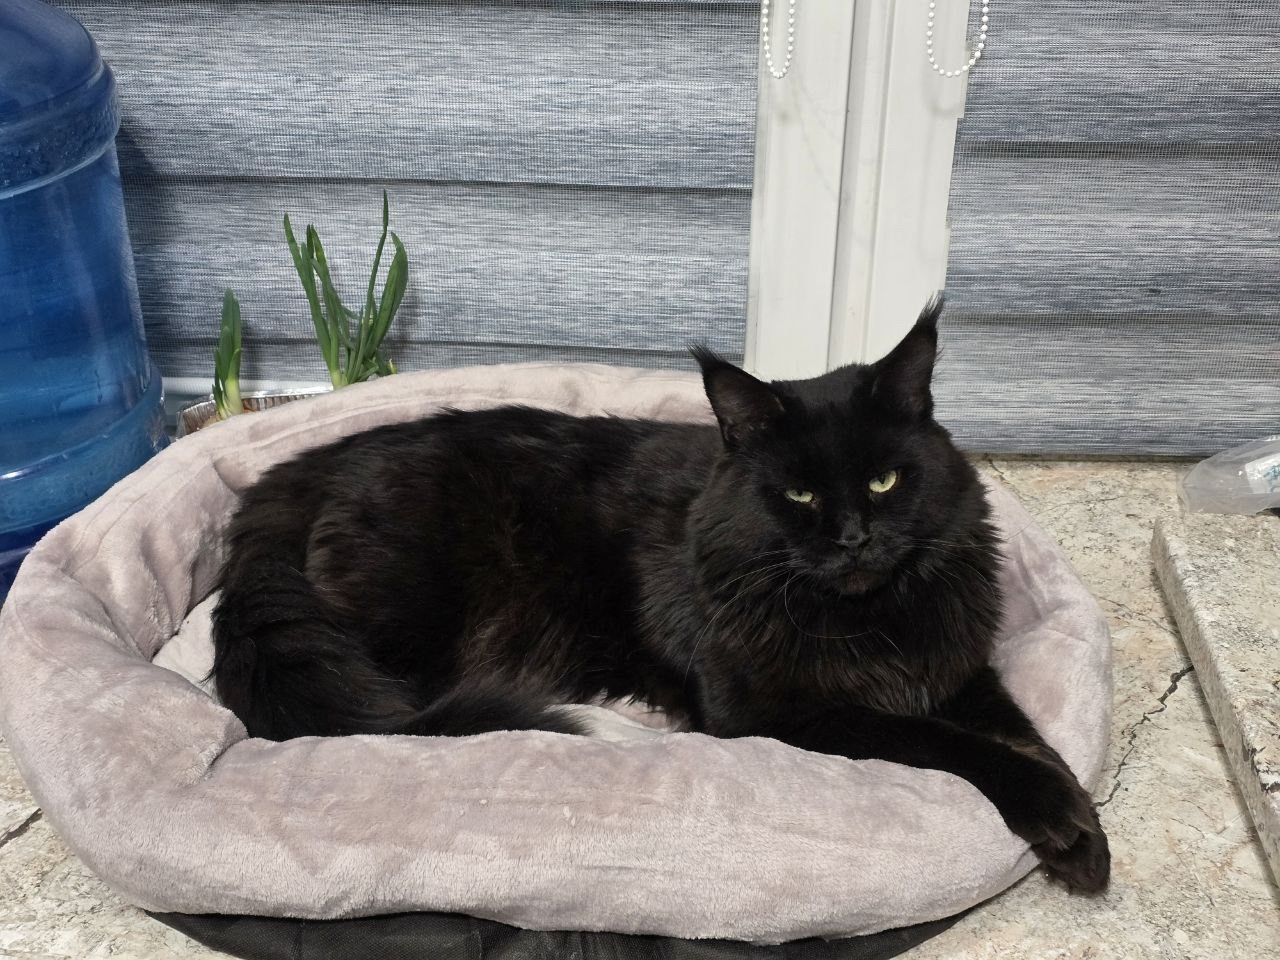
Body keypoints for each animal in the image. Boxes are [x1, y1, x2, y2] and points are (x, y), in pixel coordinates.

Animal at [212, 298, 1109, 892]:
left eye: (886, 481)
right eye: (800, 495)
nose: (855, 538)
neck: (865, 614)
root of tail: (308, 466)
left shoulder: (957, 667)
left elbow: (1027, 737)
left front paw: (1083, 835)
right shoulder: (785, 712)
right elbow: (948, 742)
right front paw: (1059, 819)